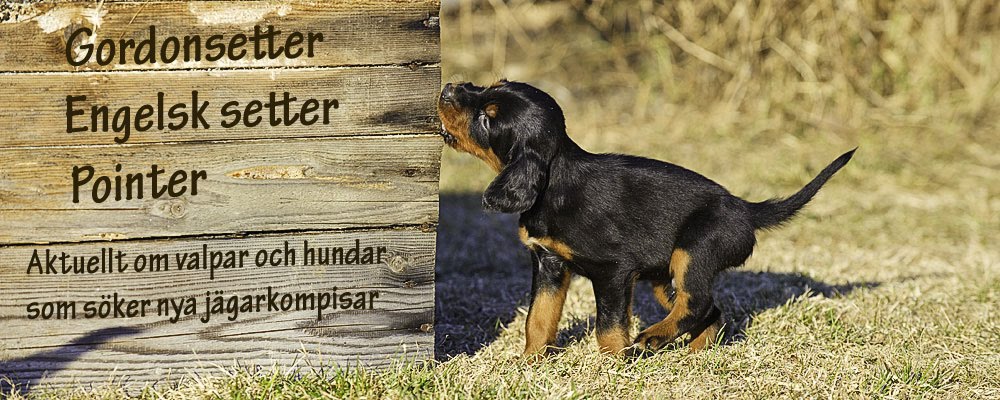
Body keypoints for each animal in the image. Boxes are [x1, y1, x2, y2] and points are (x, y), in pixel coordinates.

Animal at [442, 79, 856, 354]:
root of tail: (744, 207)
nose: (448, 88)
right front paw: (530, 364)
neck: (556, 183)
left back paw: (653, 337)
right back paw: (695, 354)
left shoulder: (613, 271)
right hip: (664, 275)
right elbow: (538, 319)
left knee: (697, 303)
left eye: (487, 119)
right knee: (708, 309)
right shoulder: (549, 264)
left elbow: (608, 327)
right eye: (487, 86)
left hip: (692, 250)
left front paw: (611, 366)